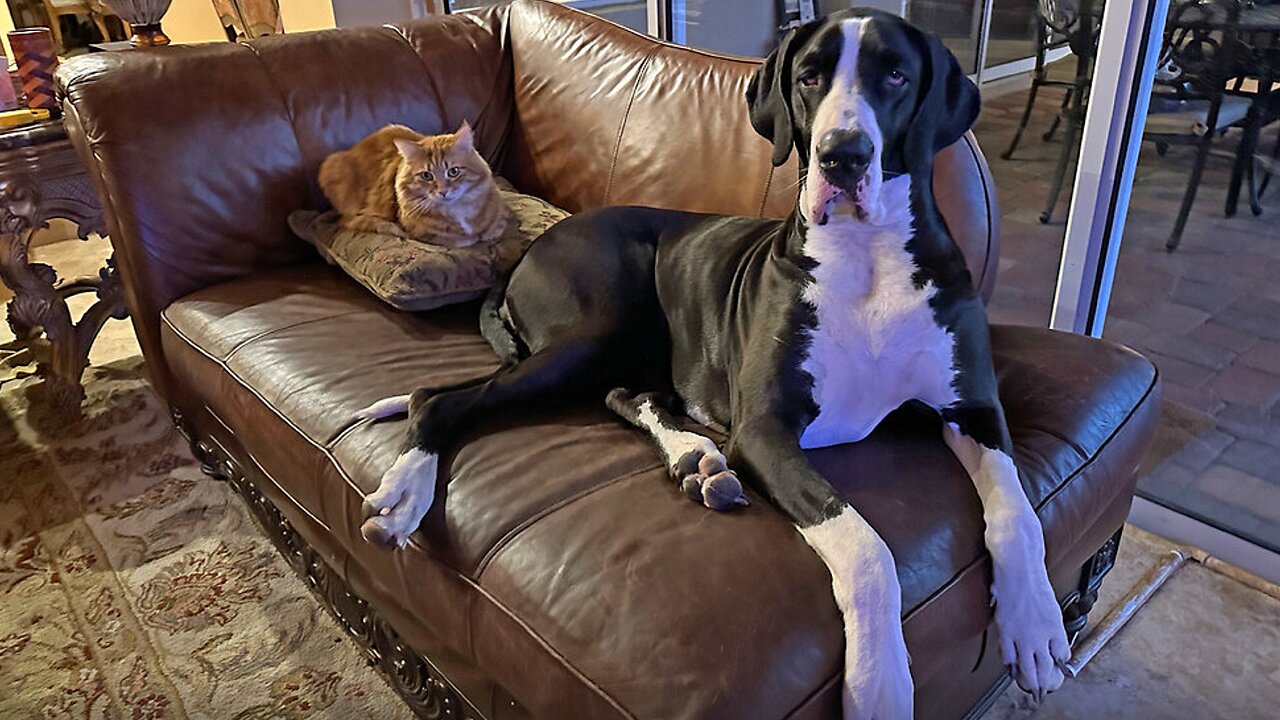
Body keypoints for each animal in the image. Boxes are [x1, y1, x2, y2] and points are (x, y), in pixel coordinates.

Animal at [317, 121, 506, 248]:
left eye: (453, 171)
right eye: (427, 176)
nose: (443, 192)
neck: (457, 210)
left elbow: (494, 227)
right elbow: (461, 239)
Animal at [355, 8, 1075, 712]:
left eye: (896, 75)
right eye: (810, 77)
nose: (842, 156)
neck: (869, 257)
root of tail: (528, 248)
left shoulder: (974, 409)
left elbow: (1020, 512)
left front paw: (1037, 624)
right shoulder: (764, 430)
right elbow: (866, 543)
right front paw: (879, 682)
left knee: (625, 394)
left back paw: (695, 458)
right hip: (595, 330)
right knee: (439, 397)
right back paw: (405, 496)